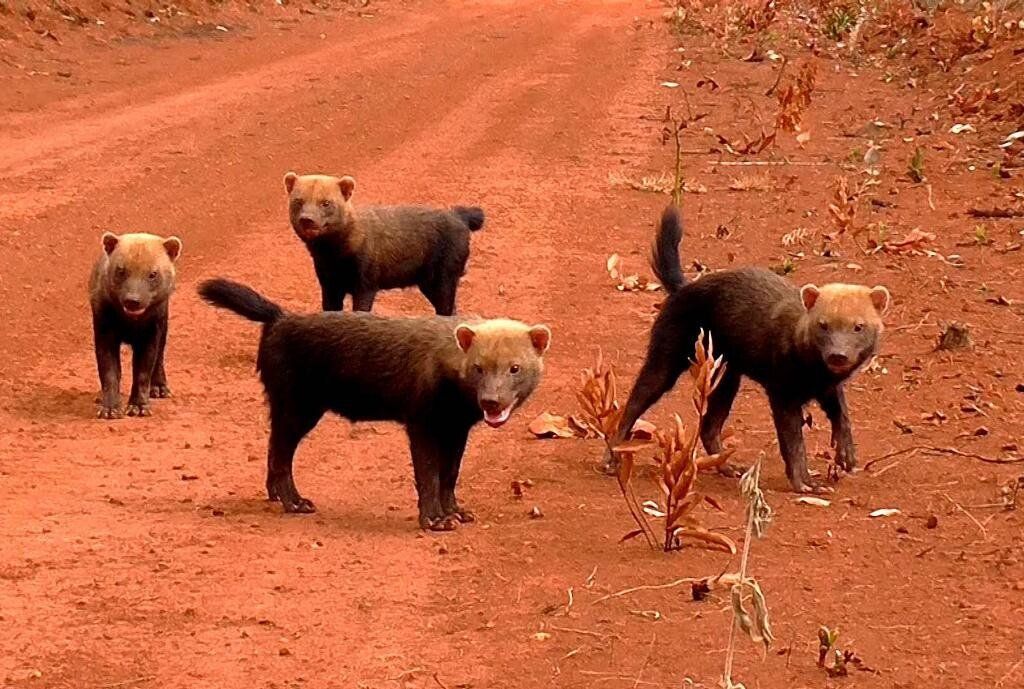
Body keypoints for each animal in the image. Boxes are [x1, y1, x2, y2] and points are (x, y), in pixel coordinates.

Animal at [198, 276, 552, 528]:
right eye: (478, 367)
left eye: (515, 368)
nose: (491, 401)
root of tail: (280, 318)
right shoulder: (422, 422)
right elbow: (428, 473)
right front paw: (436, 519)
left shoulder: (456, 428)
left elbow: (450, 474)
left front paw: (457, 512)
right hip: (300, 406)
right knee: (281, 455)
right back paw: (295, 502)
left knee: (273, 449)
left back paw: (274, 495)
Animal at [282, 171, 485, 315]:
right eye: (298, 201)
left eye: (326, 202)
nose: (307, 219)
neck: (335, 256)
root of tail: (460, 216)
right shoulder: (329, 284)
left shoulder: (366, 283)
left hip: (444, 277)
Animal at [606, 204, 888, 495]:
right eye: (822, 324)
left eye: (858, 326)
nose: (838, 355)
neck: (814, 374)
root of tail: (683, 287)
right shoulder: (783, 392)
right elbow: (793, 442)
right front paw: (805, 483)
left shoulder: (828, 388)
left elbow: (841, 413)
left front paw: (846, 455)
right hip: (668, 354)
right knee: (635, 402)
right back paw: (613, 457)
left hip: (726, 374)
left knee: (709, 425)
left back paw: (728, 467)